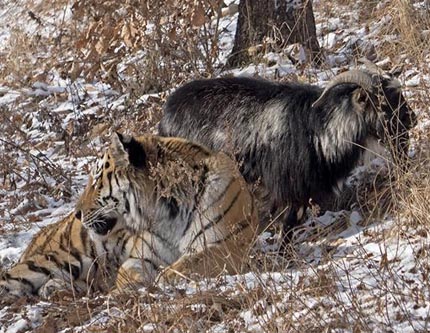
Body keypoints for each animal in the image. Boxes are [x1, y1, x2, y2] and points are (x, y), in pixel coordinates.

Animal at [158, 66, 416, 245]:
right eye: (380, 102)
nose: (411, 118)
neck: (319, 130)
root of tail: (165, 117)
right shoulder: (288, 189)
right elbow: (290, 225)